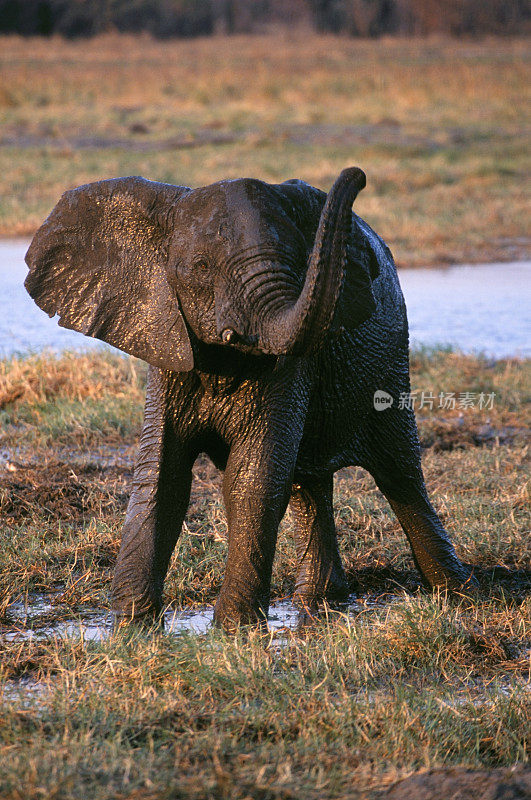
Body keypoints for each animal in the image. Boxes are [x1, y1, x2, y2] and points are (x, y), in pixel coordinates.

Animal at [25, 167, 476, 632]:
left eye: (299, 262)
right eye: (201, 267)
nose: (358, 176)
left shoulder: (290, 365)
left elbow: (251, 479)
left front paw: (233, 628)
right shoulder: (167, 342)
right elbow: (161, 476)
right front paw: (132, 626)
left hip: (390, 361)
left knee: (399, 473)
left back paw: (459, 592)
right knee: (307, 480)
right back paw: (321, 602)